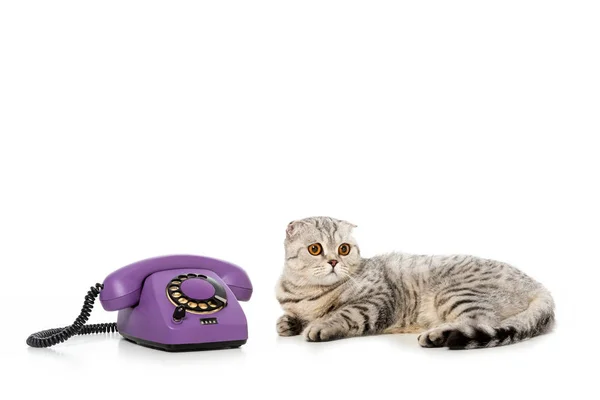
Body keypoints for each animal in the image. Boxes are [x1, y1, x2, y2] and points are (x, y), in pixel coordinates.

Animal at [276, 216, 552, 350]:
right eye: (315, 249)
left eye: (344, 249)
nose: (334, 261)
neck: (307, 292)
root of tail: (539, 286)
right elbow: (289, 317)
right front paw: (287, 324)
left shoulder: (375, 301)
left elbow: (342, 314)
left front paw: (320, 326)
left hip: (454, 293)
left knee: (480, 321)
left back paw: (438, 335)